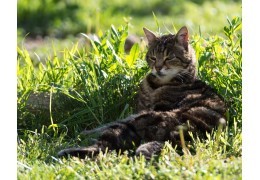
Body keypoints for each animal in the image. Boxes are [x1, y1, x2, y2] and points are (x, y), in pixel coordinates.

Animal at [58, 26, 226, 159]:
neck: (156, 85)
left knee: (102, 146)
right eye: (153, 57)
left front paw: (85, 131)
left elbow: (109, 122)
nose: (158, 68)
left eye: (169, 57)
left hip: (139, 121)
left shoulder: (146, 110)